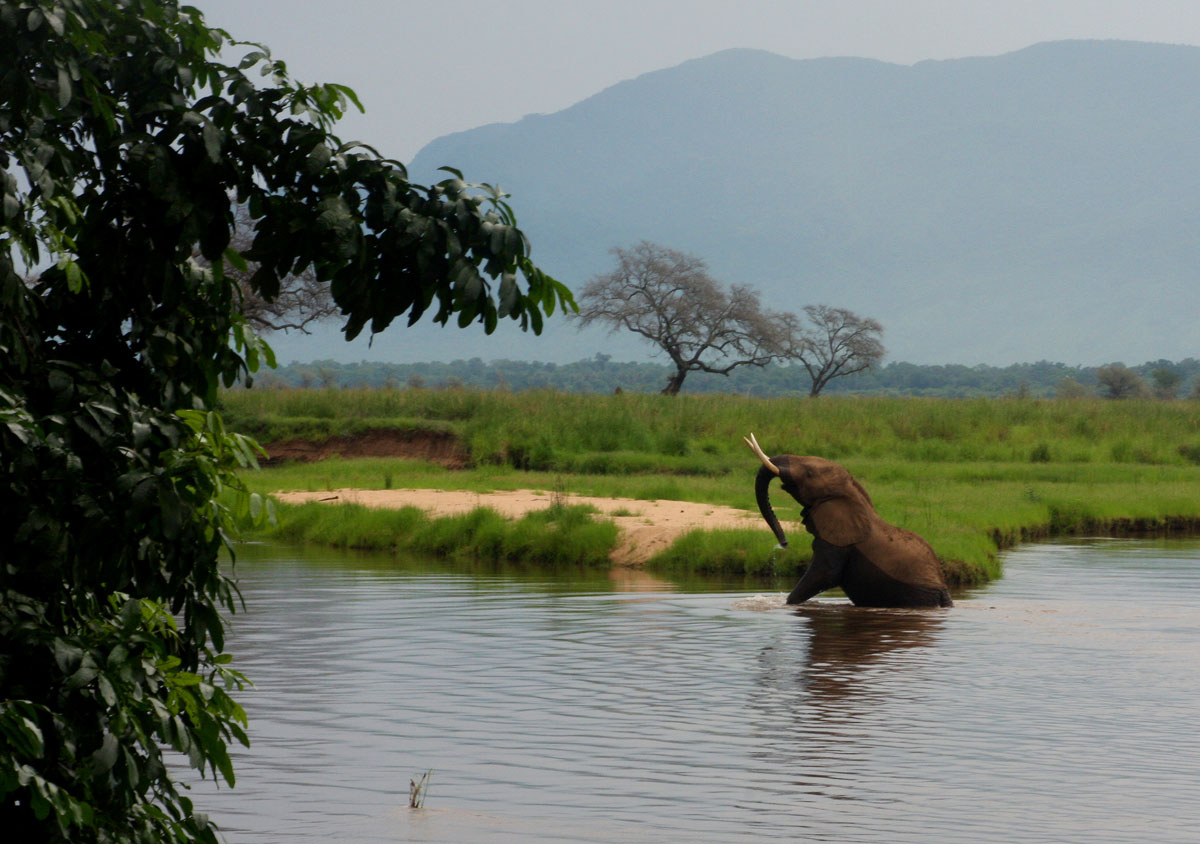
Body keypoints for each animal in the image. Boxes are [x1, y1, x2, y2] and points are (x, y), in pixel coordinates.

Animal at [739, 437, 955, 607]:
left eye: (809, 474)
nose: (784, 543)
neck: (852, 493)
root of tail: (944, 592)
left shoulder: (840, 543)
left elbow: (825, 575)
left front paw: (787, 604)